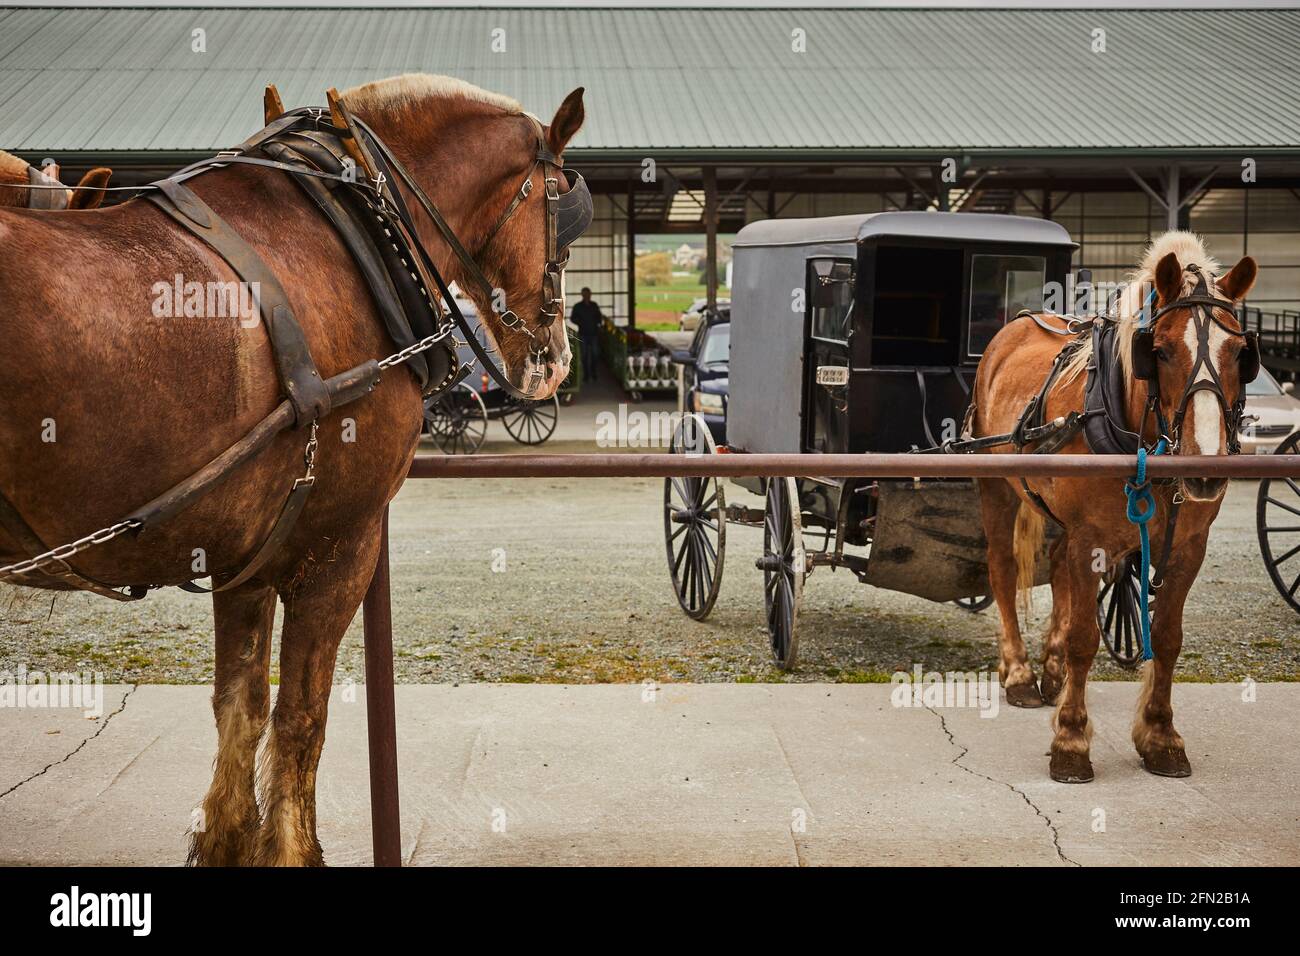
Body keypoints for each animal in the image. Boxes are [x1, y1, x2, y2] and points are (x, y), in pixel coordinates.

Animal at [0, 76, 585, 868]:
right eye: (564, 215)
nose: (555, 357)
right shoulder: (338, 546)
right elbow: (301, 718)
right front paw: (292, 849)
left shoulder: (243, 554)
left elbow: (240, 708)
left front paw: (228, 839)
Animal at [977, 234, 1258, 785]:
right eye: (1160, 350)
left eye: (1241, 354)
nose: (1205, 469)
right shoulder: (1092, 538)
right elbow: (1086, 637)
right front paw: (1070, 742)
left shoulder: (1189, 546)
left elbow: (1166, 638)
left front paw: (1160, 737)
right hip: (997, 488)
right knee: (1002, 571)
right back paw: (1019, 672)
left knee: (1058, 569)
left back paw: (1052, 671)